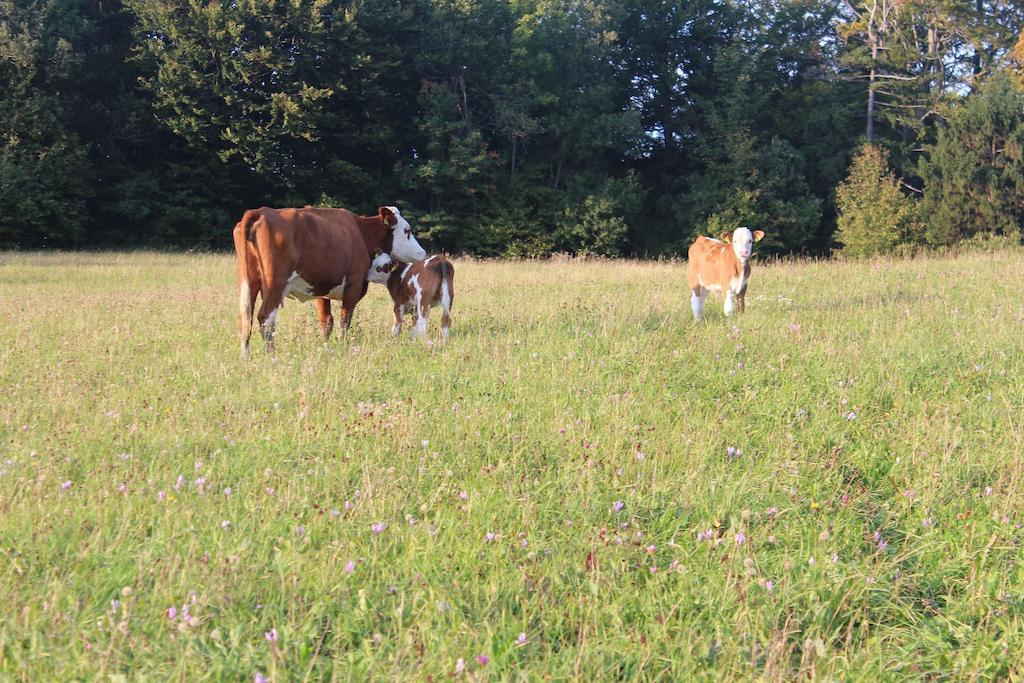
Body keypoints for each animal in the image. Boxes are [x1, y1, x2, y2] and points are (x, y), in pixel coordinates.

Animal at [231, 204, 423, 358]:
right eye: (407, 230)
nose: (422, 253)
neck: (360, 232)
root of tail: (260, 211)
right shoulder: (354, 285)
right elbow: (345, 320)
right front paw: (343, 345)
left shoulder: (321, 290)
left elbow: (326, 321)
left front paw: (325, 347)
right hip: (274, 285)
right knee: (266, 319)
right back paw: (272, 357)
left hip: (248, 282)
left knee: (244, 317)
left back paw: (245, 357)